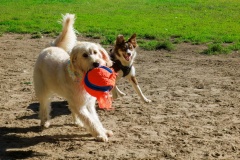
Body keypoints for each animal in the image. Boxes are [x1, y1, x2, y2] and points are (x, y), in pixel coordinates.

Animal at [33, 13, 114, 141]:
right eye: (85, 55)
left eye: (95, 52)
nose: (96, 63)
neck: (81, 76)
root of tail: (51, 47)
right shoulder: (81, 105)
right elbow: (90, 121)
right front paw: (100, 134)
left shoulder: (89, 103)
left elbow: (95, 119)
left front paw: (104, 131)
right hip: (42, 90)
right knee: (44, 106)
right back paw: (44, 122)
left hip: (70, 98)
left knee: (71, 108)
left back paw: (77, 122)